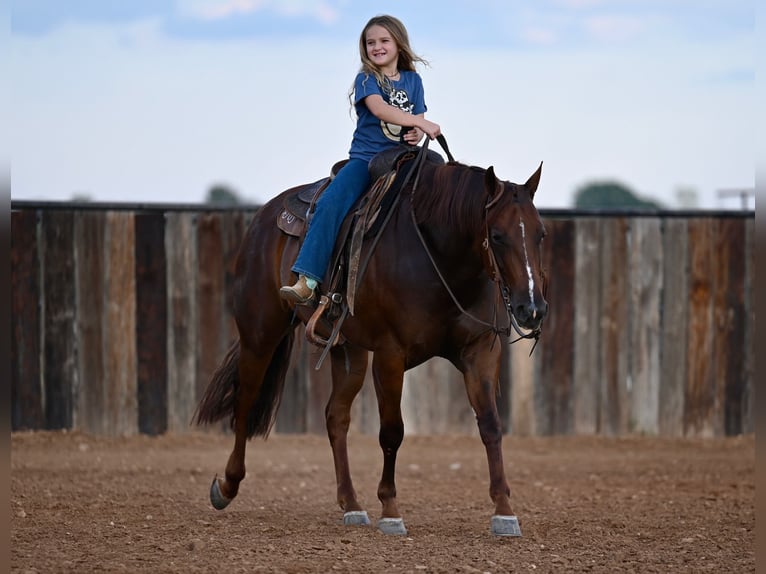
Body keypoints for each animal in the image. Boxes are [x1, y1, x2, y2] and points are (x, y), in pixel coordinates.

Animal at [195, 151, 548, 536]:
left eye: (541, 233)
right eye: (496, 235)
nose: (532, 308)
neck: (438, 253)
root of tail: (263, 217)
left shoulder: (480, 351)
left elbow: (491, 424)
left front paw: (504, 510)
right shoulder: (390, 355)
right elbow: (392, 431)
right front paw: (391, 509)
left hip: (348, 350)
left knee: (335, 416)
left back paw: (351, 504)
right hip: (259, 334)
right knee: (244, 400)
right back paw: (227, 485)